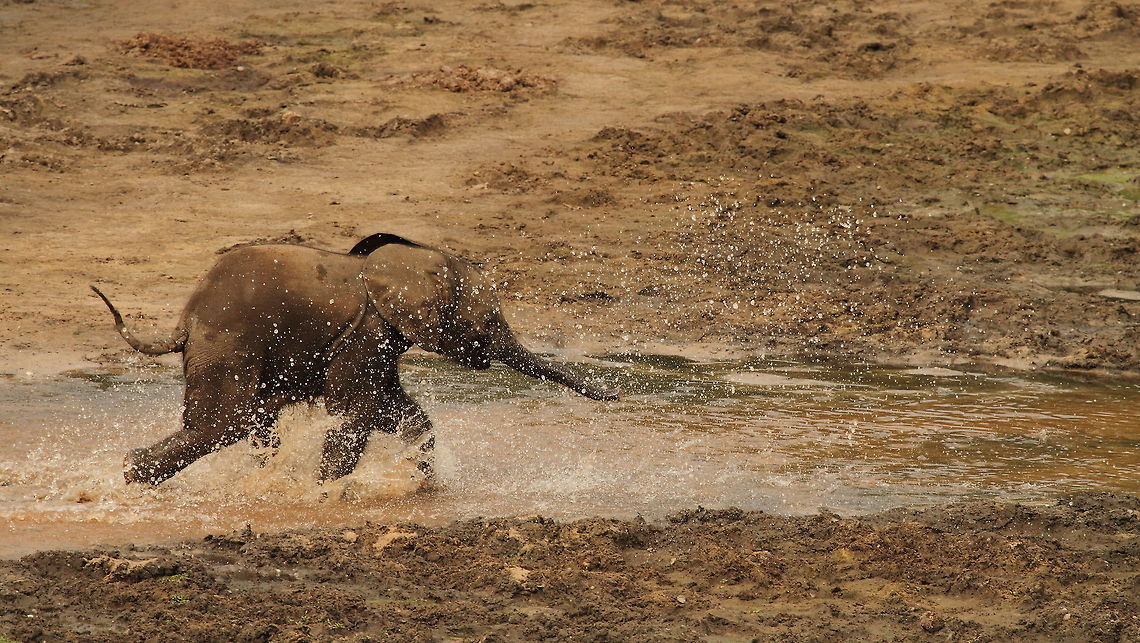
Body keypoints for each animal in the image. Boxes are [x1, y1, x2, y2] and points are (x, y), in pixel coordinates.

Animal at [91, 233, 618, 486]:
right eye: (488, 325)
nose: (613, 396)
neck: (407, 263)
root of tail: (185, 320)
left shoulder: (380, 337)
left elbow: (397, 411)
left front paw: (421, 485)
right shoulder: (365, 332)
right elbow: (354, 411)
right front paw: (324, 494)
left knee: (252, 422)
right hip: (228, 343)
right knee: (227, 422)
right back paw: (133, 474)